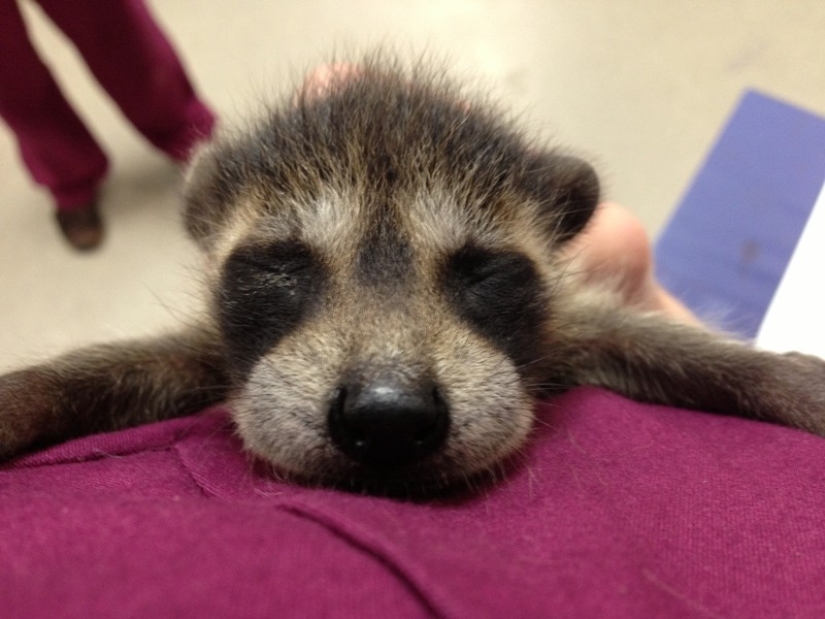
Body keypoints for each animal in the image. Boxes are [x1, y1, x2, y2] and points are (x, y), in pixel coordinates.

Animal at [1, 59, 824, 494]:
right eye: (283, 262)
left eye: (483, 270)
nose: (388, 413)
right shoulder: (218, 349)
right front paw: (29, 394)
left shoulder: (564, 326)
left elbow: (655, 341)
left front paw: (778, 378)